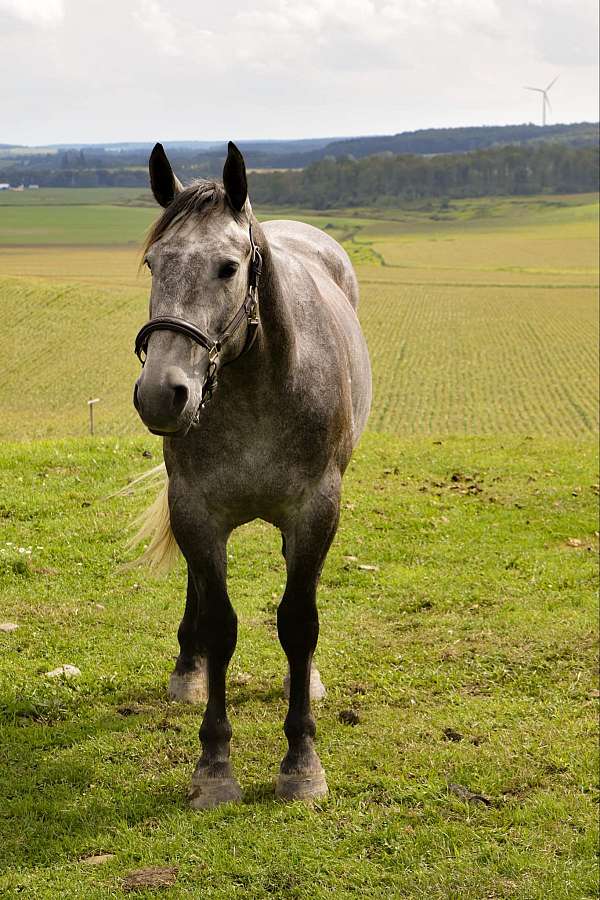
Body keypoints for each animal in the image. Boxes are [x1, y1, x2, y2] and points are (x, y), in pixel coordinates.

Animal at [132, 142, 370, 808]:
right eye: (154, 263)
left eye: (228, 267)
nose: (162, 394)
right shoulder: (196, 511)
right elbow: (219, 625)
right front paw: (214, 767)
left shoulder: (315, 511)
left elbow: (298, 622)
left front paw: (302, 761)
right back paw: (187, 672)